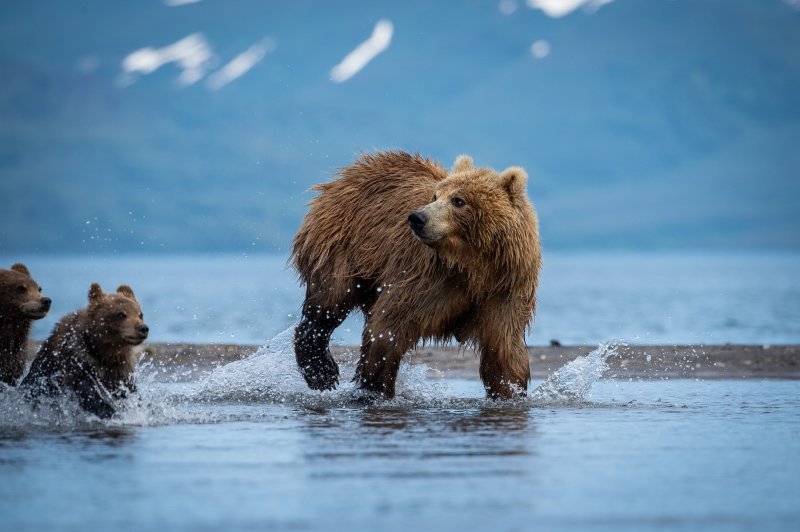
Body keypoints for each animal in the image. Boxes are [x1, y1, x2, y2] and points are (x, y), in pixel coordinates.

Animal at [19, 280, 148, 418]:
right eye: (120, 314)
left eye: (140, 314)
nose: (143, 328)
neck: (102, 350)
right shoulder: (77, 361)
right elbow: (88, 392)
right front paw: (109, 411)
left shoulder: (119, 368)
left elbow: (128, 390)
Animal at [290, 150, 540, 400]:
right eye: (435, 195)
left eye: (458, 200)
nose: (417, 218)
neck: (473, 267)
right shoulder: (426, 279)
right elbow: (388, 328)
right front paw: (374, 390)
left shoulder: (504, 289)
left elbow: (503, 348)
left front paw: (509, 392)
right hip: (342, 245)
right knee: (328, 303)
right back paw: (322, 371)